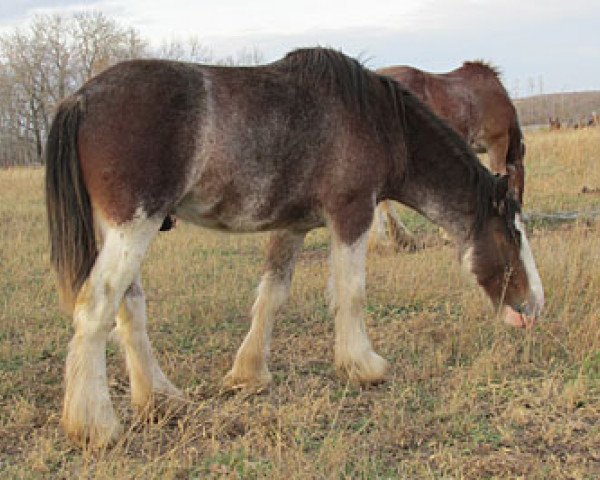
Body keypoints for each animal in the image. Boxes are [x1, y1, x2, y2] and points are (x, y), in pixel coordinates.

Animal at [45, 48, 544, 446]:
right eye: (514, 233)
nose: (533, 305)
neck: (377, 120)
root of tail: (80, 98)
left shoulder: (293, 226)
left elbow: (272, 296)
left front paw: (248, 373)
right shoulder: (352, 214)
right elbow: (351, 294)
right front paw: (364, 366)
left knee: (129, 308)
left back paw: (161, 399)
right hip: (134, 227)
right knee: (96, 309)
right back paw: (95, 425)